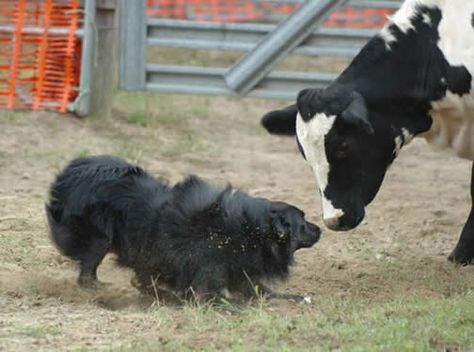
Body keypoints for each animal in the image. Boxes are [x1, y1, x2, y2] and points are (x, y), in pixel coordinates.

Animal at [46, 155, 320, 302]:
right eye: (303, 223)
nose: (320, 229)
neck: (253, 231)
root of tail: (75, 170)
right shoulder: (209, 269)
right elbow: (214, 295)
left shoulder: (239, 271)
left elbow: (263, 292)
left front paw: (299, 298)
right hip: (99, 237)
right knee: (88, 269)